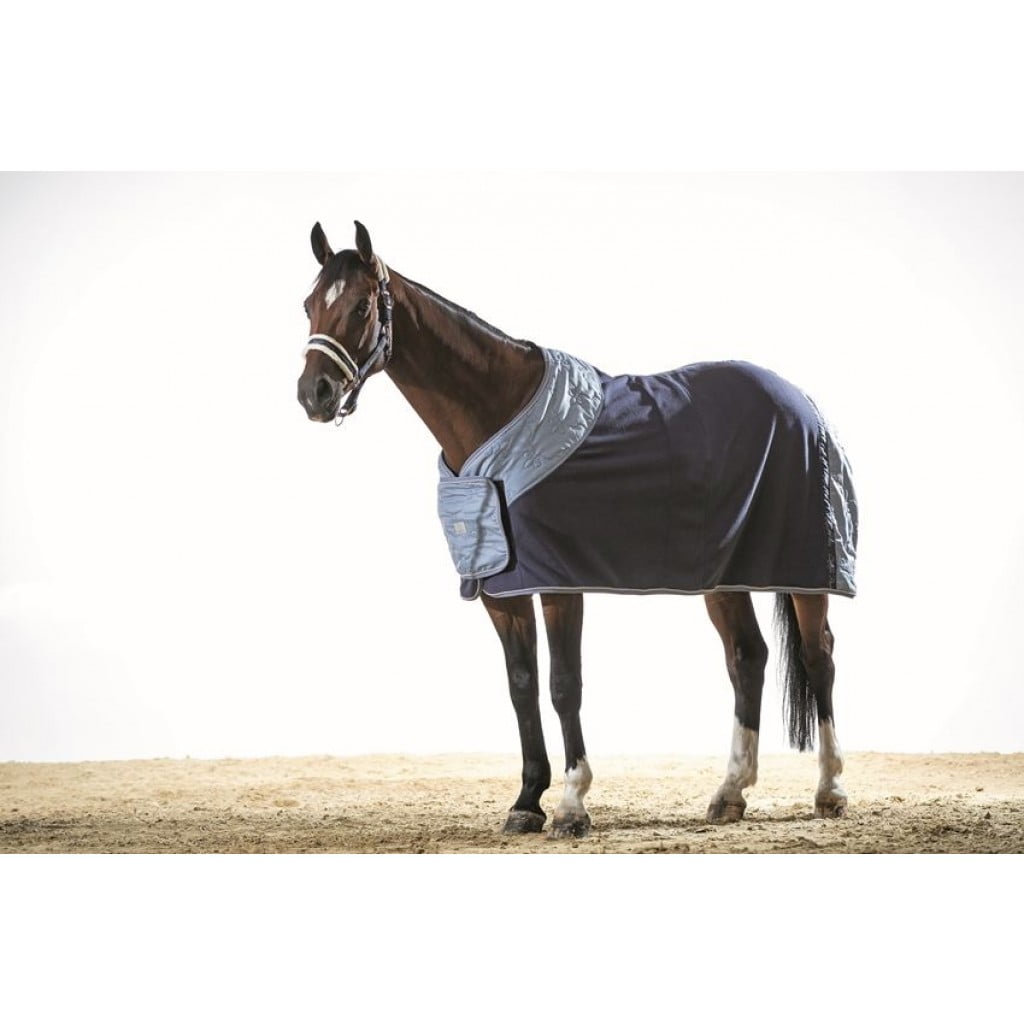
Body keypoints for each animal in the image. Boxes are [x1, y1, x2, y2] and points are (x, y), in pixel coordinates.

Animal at [296, 220, 858, 839]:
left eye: (362, 306)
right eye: (308, 305)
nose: (314, 393)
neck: (499, 415)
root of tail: (801, 402)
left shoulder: (560, 583)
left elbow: (565, 684)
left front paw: (571, 805)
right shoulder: (501, 588)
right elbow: (522, 685)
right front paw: (526, 801)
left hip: (807, 565)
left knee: (819, 656)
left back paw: (830, 791)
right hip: (723, 572)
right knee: (747, 658)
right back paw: (729, 794)